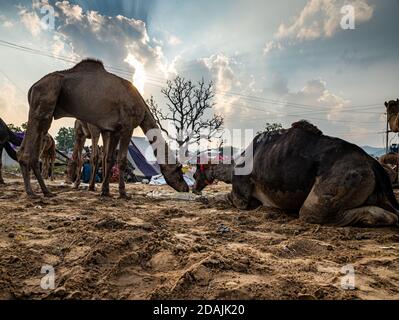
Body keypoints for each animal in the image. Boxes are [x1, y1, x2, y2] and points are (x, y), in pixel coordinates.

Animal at [17, 58, 189, 198]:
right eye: (178, 171)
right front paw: (123, 193)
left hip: (46, 111)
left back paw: (46, 191)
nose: (186, 188)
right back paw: (32, 192)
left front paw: (105, 191)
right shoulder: (127, 127)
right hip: (45, 99)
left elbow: (109, 158)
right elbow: (121, 160)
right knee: (30, 147)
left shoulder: (114, 130)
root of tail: (32, 87)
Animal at [192, 120, 398, 228]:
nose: (194, 187)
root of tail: (372, 163)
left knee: (312, 213)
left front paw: (204, 199)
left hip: (343, 180)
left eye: (195, 172)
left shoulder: (240, 194)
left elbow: (225, 198)